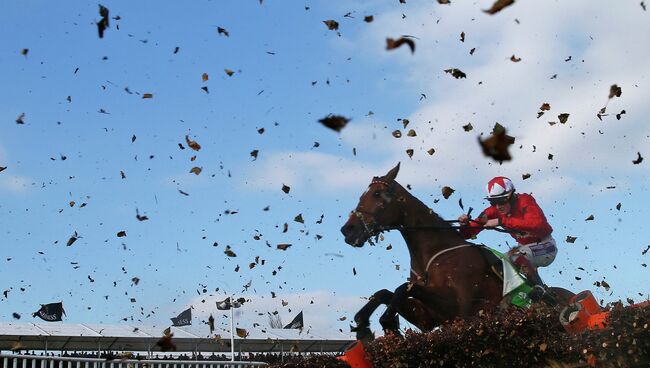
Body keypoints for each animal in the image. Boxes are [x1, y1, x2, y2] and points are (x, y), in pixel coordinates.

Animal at [340, 162, 572, 340]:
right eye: (363, 195)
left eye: (377, 194)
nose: (347, 230)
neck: (434, 255)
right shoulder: (428, 318)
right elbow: (386, 292)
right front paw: (362, 325)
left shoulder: (461, 312)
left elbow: (401, 288)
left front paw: (386, 322)